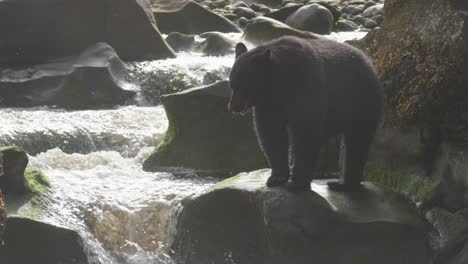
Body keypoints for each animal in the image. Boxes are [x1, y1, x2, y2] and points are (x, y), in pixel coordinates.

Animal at [229, 36, 382, 191]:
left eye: (244, 86)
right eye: (232, 85)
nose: (232, 107)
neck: (279, 85)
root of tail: (369, 61)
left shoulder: (306, 86)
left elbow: (305, 131)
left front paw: (296, 182)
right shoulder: (269, 104)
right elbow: (271, 133)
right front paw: (277, 178)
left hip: (360, 100)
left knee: (357, 140)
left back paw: (344, 184)